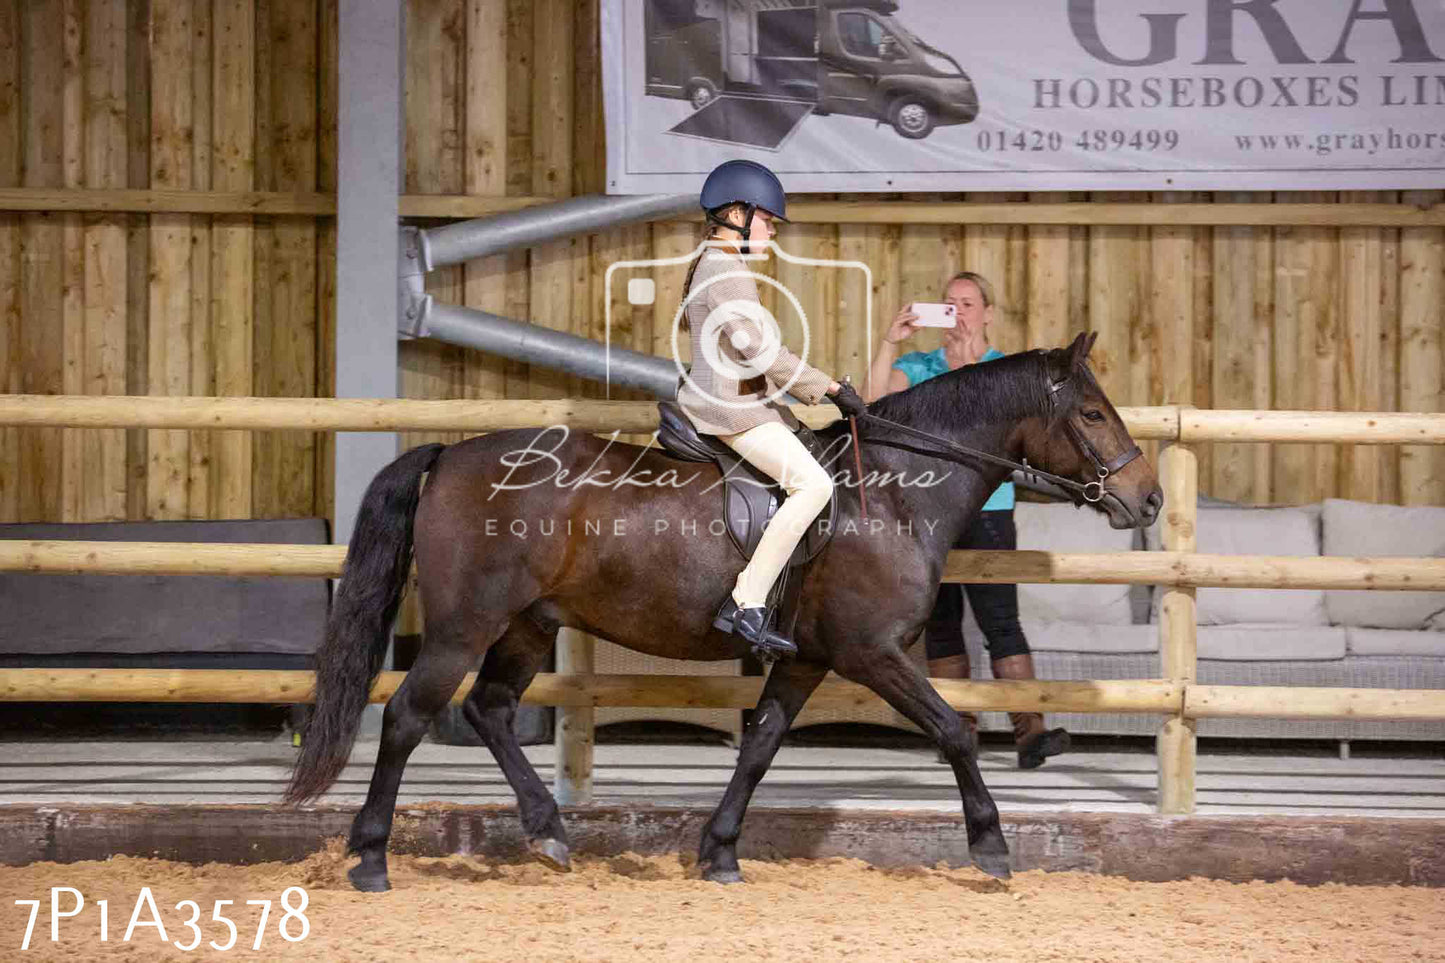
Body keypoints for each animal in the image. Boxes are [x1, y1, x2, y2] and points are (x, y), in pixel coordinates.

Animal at [281, 332, 1161, 890]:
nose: (1146, 497)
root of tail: (451, 455)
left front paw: (720, 850)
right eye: (1091, 414)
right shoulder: (871, 653)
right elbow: (953, 731)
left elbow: (761, 745)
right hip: (464, 626)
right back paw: (371, 858)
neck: (893, 494)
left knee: (491, 710)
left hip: (530, 624)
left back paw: (547, 829)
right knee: (408, 716)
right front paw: (991, 845)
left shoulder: (808, 659)